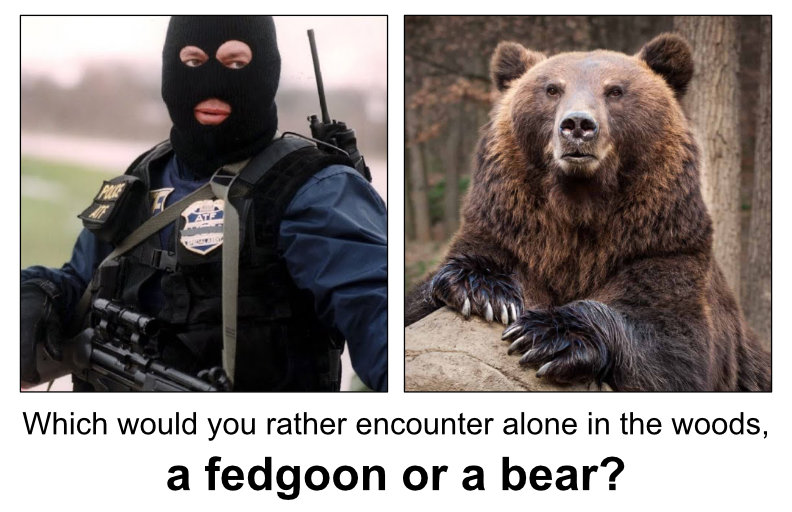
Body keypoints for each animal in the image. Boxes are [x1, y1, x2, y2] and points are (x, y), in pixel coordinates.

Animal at [405, 33, 770, 392]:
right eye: (552, 89)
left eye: (615, 90)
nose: (578, 124)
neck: (579, 207)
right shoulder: (509, 229)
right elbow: (431, 292)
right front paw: (484, 291)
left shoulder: (661, 244)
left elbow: (674, 346)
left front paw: (548, 335)